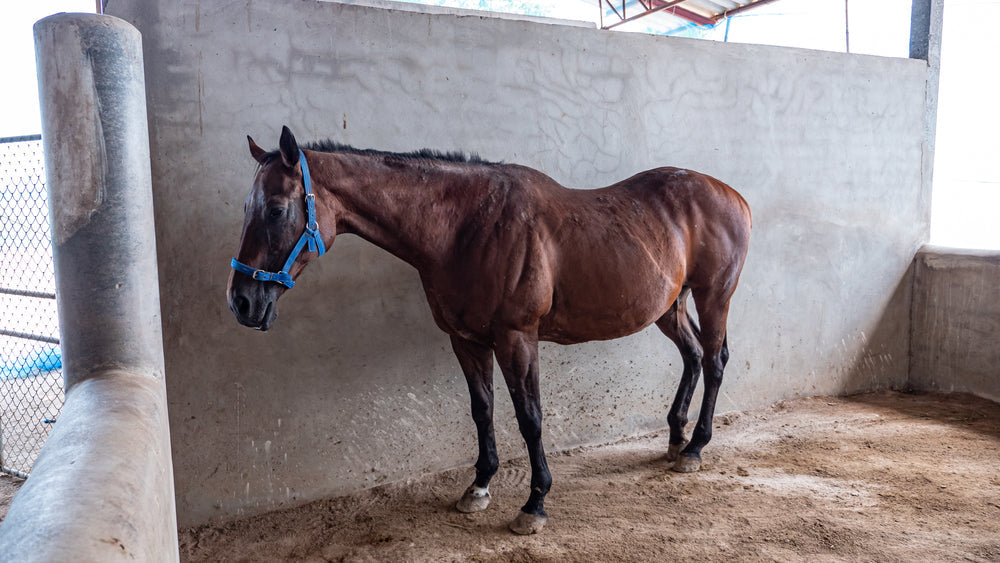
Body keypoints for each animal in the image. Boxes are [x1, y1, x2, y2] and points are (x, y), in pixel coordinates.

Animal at [227, 126, 752, 535]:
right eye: (247, 205)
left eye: (276, 209)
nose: (242, 302)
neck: (464, 228)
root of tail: (733, 195)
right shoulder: (465, 340)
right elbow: (482, 410)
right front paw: (478, 486)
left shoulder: (517, 338)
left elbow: (529, 417)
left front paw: (534, 503)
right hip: (670, 305)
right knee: (692, 356)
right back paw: (676, 439)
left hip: (714, 296)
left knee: (714, 360)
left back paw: (696, 446)